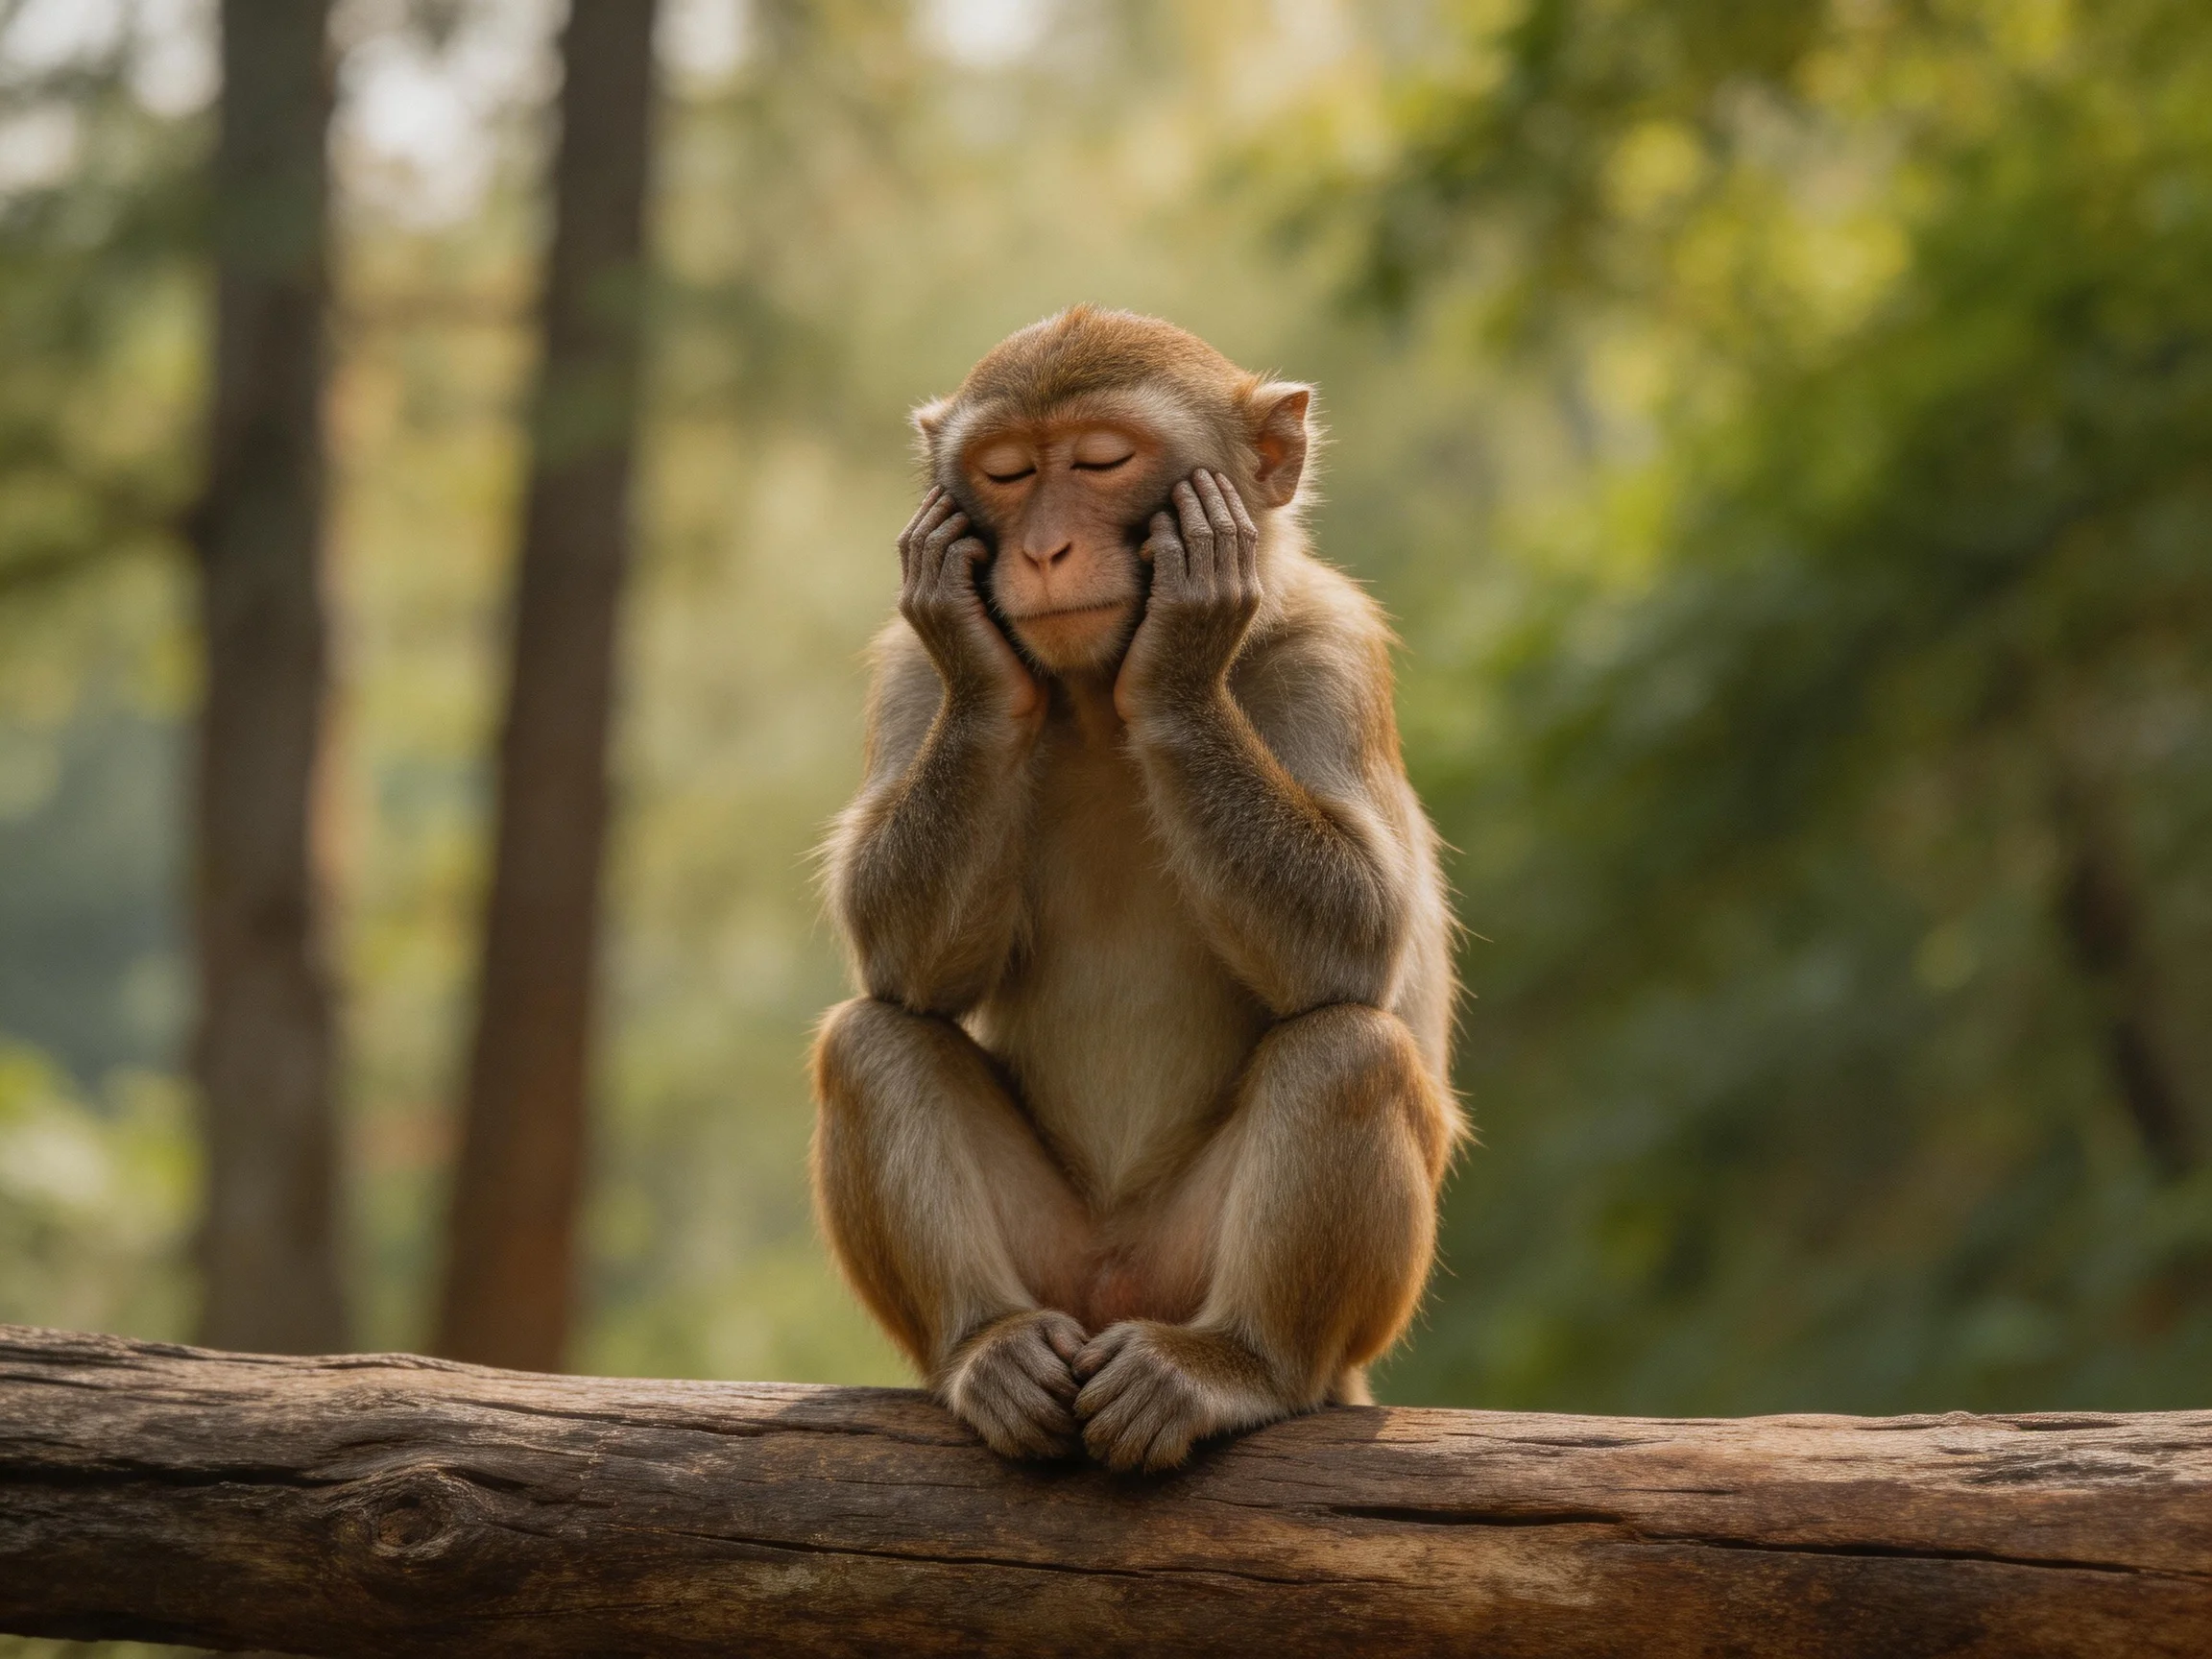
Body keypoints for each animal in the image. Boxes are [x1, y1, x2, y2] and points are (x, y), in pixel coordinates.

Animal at [809, 305, 1461, 1473]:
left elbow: (1356, 942)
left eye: (1103, 461)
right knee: (871, 1038)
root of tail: (1115, 1292)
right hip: (1061, 1266)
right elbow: (901, 963)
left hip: (1216, 1280)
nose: (1042, 550)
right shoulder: (908, 678)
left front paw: (1185, 644)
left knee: (1347, 1049)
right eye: (1008, 472)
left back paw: (1240, 1366)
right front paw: (971, 639)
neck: (1094, 692)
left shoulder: (1330, 650)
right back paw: (989, 1344)